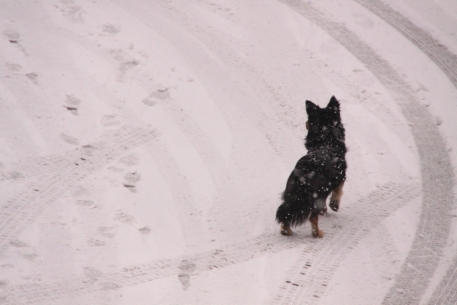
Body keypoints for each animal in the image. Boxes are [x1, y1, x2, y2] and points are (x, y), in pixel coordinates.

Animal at [274, 96, 346, 236]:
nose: (306, 122)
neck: (326, 141)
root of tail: (305, 173)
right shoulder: (341, 176)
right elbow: (338, 191)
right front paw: (334, 205)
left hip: (290, 194)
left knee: (286, 213)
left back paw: (286, 231)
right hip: (316, 195)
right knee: (313, 217)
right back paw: (318, 234)